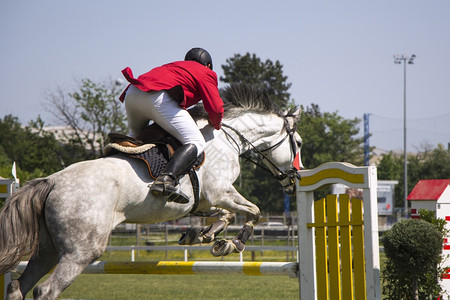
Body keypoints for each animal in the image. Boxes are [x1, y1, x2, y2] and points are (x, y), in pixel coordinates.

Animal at [0, 82, 302, 300]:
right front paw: (232, 243)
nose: (294, 180)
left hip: (47, 249)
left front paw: (203, 235)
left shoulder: (206, 200)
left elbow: (225, 216)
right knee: (45, 290)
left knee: (18, 286)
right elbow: (254, 212)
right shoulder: (221, 192)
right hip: (80, 252)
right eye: (298, 143)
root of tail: (50, 182)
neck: (226, 137)